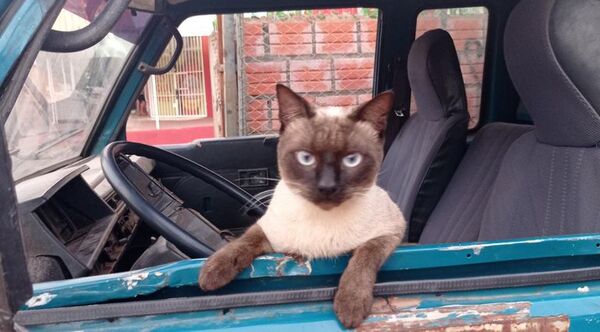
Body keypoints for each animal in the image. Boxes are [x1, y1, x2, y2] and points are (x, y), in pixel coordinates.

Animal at [199, 84, 406, 328]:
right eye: (306, 158)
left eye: (351, 160)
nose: (327, 187)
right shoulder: (270, 234)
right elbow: (242, 243)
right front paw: (211, 273)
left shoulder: (391, 232)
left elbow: (365, 256)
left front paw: (351, 305)